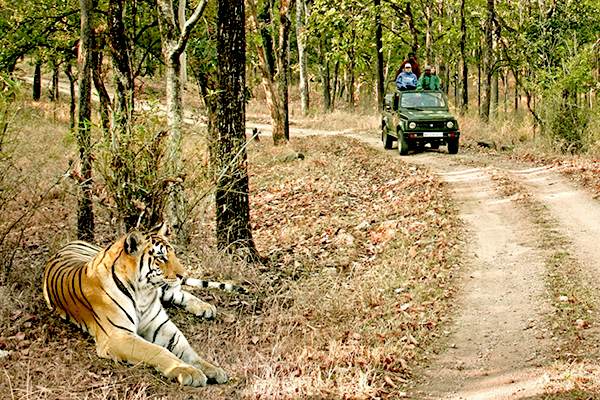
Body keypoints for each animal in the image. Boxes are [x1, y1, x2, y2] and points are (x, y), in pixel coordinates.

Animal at [43, 223, 236, 386]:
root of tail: (72, 242)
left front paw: (212, 369)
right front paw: (189, 372)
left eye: (173, 253)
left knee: (179, 292)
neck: (144, 293)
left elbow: (188, 351)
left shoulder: (161, 327)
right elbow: (157, 351)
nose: (182, 275)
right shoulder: (118, 336)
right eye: (161, 258)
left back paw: (206, 308)